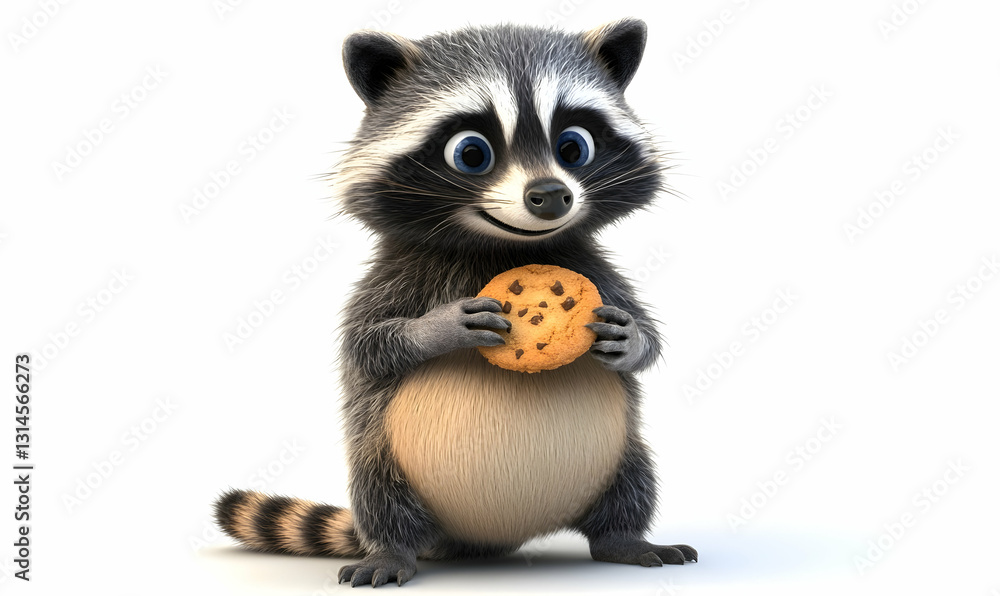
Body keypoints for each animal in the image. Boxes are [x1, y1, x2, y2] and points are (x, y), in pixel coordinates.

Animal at [214, 18, 697, 587]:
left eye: (574, 146)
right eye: (471, 153)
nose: (551, 196)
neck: (502, 247)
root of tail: (486, 538)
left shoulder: (593, 268)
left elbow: (646, 332)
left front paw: (631, 338)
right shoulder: (395, 274)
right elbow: (367, 343)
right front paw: (437, 328)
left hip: (622, 452)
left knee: (632, 483)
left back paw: (623, 538)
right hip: (382, 454)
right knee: (380, 492)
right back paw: (391, 549)